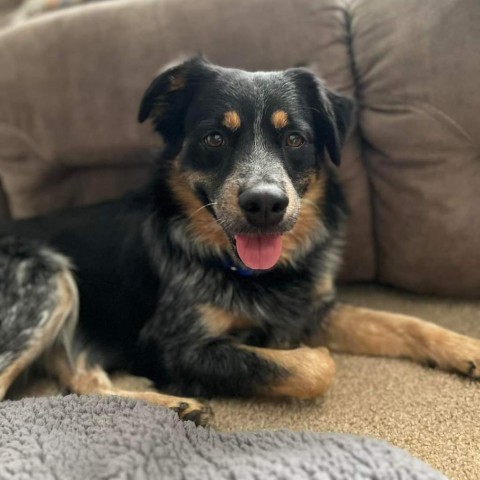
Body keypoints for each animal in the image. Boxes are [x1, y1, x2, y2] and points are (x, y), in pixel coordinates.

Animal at [0, 58, 480, 426]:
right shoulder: (171, 346)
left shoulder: (310, 306)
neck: (255, 273)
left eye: (295, 138)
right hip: (45, 277)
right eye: (214, 138)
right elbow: (313, 364)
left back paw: (175, 406)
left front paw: (466, 348)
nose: (265, 203)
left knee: (81, 382)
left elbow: (402, 322)